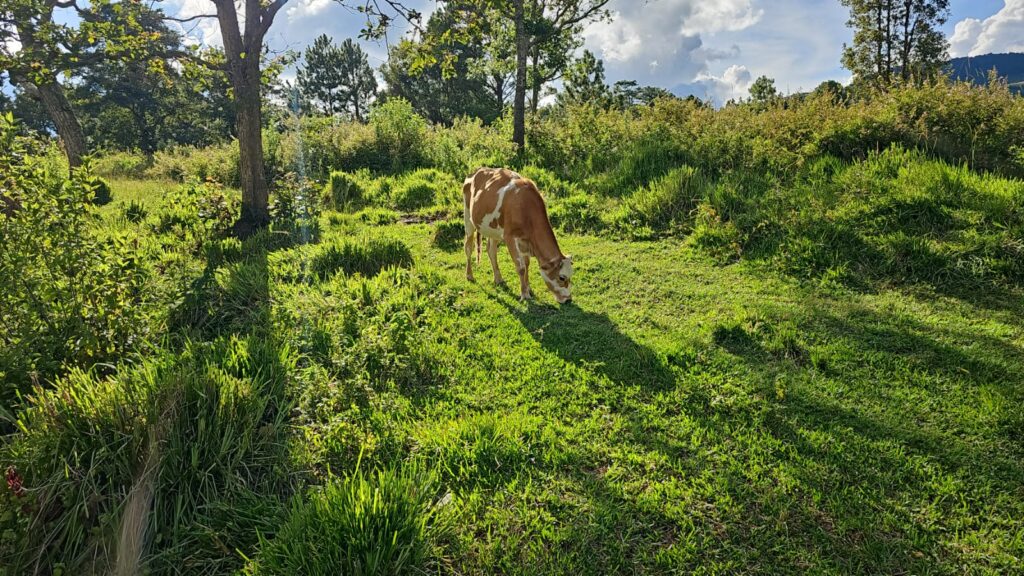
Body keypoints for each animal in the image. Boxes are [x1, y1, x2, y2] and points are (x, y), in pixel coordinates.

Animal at [462, 166, 573, 303]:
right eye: (561, 277)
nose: (568, 299)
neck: (526, 208)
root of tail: (477, 170)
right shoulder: (510, 237)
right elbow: (520, 268)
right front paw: (524, 295)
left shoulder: (525, 241)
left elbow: (526, 264)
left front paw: (528, 288)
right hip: (468, 217)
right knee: (468, 247)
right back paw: (469, 275)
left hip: (493, 230)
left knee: (491, 251)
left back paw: (498, 278)